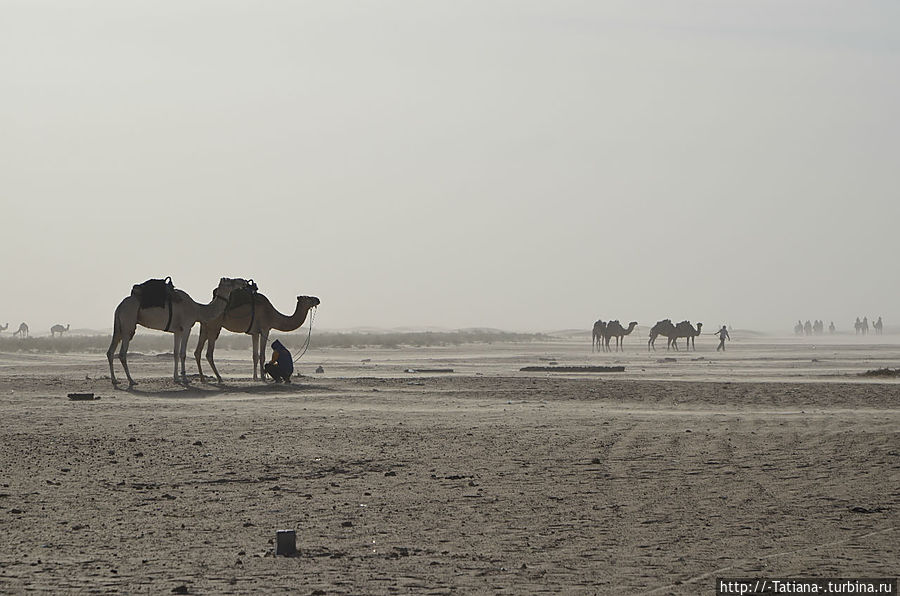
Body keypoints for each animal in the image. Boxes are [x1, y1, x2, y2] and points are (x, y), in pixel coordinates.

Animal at [107, 278, 251, 388]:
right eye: (230, 281)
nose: (243, 281)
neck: (197, 309)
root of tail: (119, 306)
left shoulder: (177, 330)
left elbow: (175, 353)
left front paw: (176, 378)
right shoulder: (187, 327)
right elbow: (182, 353)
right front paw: (185, 378)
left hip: (118, 327)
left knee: (110, 352)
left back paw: (115, 380)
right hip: (128, 325)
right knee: (122, 353)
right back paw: (131, 381)